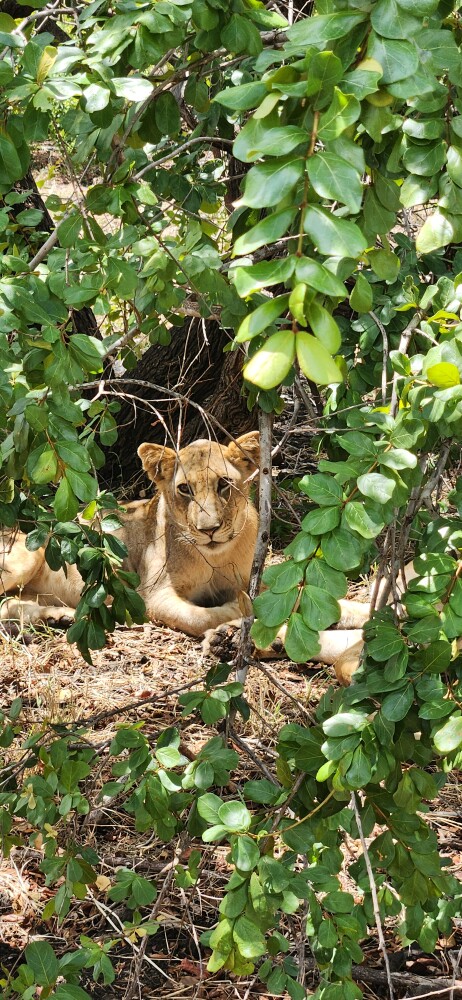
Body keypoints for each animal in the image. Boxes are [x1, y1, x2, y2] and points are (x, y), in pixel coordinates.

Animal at [0, 432, 260, 637]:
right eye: (185, 489)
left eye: (224, 483)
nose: (209, 530)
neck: (216, 559)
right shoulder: (154, 596)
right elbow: (201, 618)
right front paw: (238, 608)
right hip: (28, 555)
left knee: (8, 602)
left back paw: (58, 617)